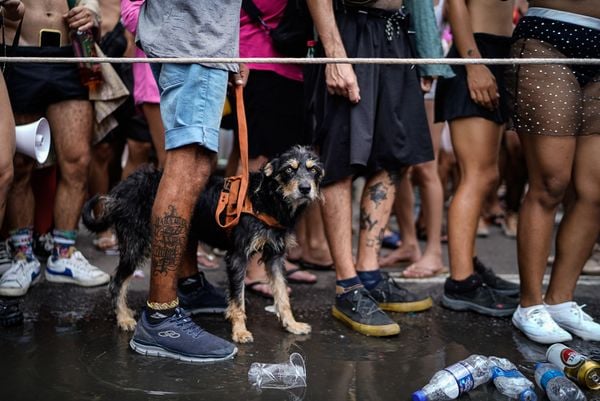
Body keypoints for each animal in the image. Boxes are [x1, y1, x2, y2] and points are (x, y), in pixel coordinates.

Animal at [83, 145, 324, 342]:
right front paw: (240, 331)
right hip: (136, 243)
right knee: (116, 281)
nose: (305, 188)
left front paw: (292, 324)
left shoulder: (275, 256)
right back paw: (123, 317)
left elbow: (282, 294)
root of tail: (120, 190)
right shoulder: (237, 256)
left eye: (313, 170)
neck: (267, 198)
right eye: (289, 170)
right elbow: (238, 300)